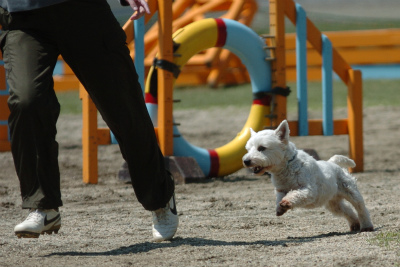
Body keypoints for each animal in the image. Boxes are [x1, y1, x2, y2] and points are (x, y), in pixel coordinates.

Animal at [242, 120, 374, 233]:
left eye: (262, 148)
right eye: (248, 149)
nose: (246, 161)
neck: (287, 167)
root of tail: (333, 163)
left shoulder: (308, 190)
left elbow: (295, 194)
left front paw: (286, 202)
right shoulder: (280, 190)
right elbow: (279, 198)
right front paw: (280, 208)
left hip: (351, 192)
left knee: (361, 209)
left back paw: (366, 226)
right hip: (333, 203)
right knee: (348, 211)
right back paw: (355, 224)